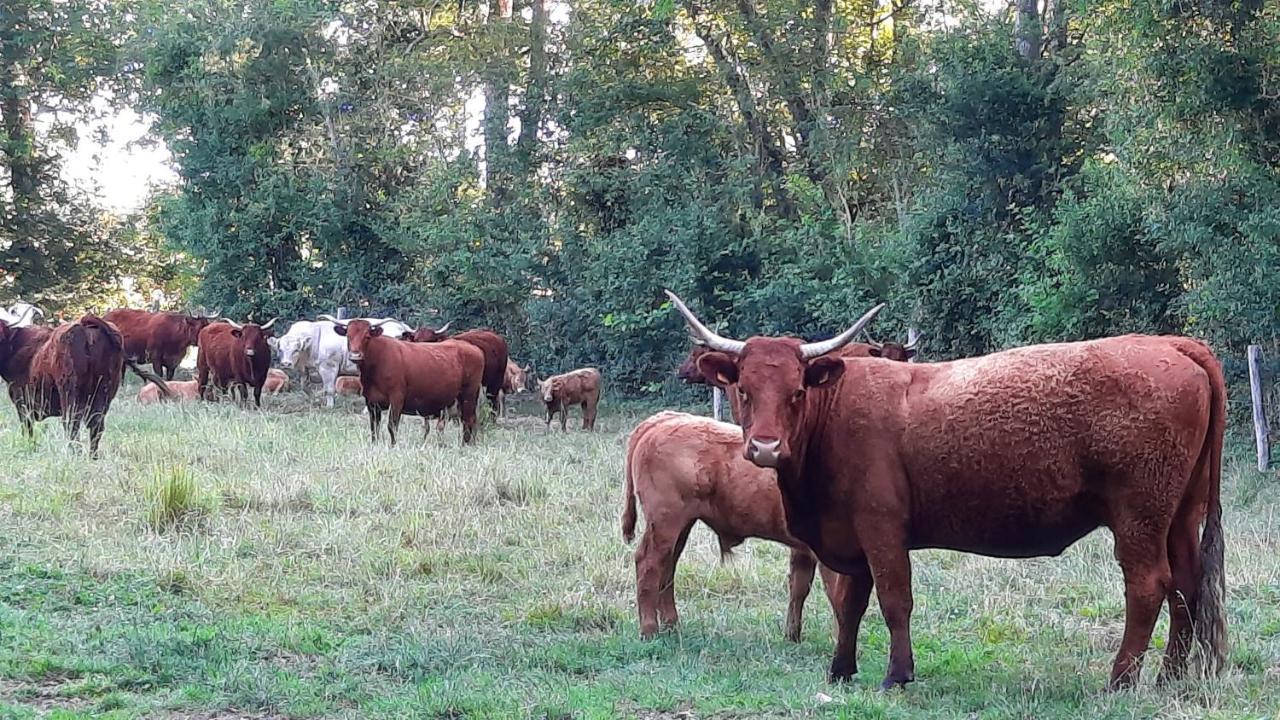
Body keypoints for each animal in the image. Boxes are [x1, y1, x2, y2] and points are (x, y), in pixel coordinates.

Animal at [0, 310, 167, 453]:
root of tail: (85, 323)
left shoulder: (22, 403)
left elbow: (27, 429)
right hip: (106, 390)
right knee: (96, 425)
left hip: (69, 392)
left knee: (72, 424)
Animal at [272, 316, 412, 407]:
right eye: (280, 349)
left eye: (296, 349)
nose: (286, 364)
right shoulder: (305, 369)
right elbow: (305, 387)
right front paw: (315, 400)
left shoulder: (329, 367)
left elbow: (329, 389)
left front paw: (329, 407)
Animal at [622, 409, 844, 638]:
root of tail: (663, 420)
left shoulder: (804, 550)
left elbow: (800, 587)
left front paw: (792, 636)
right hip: (664, 524)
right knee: (648, 564)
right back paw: (650, 630)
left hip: (679, 527)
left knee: (668, 567)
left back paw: (672, 625)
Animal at [665, 292, 1223, 691]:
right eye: (744, 390)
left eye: (797, 391)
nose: (764, 447)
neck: (835, 414)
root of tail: (1172, 344)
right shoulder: (851, 538)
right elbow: (851, 602)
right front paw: (841, 669)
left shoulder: (882, 529)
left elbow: (894, 599)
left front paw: (897, 675)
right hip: (1181, 513)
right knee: (1187, 585)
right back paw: (1171, 677)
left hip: (1139, 516)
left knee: (1148, 585)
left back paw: (1121, 679)